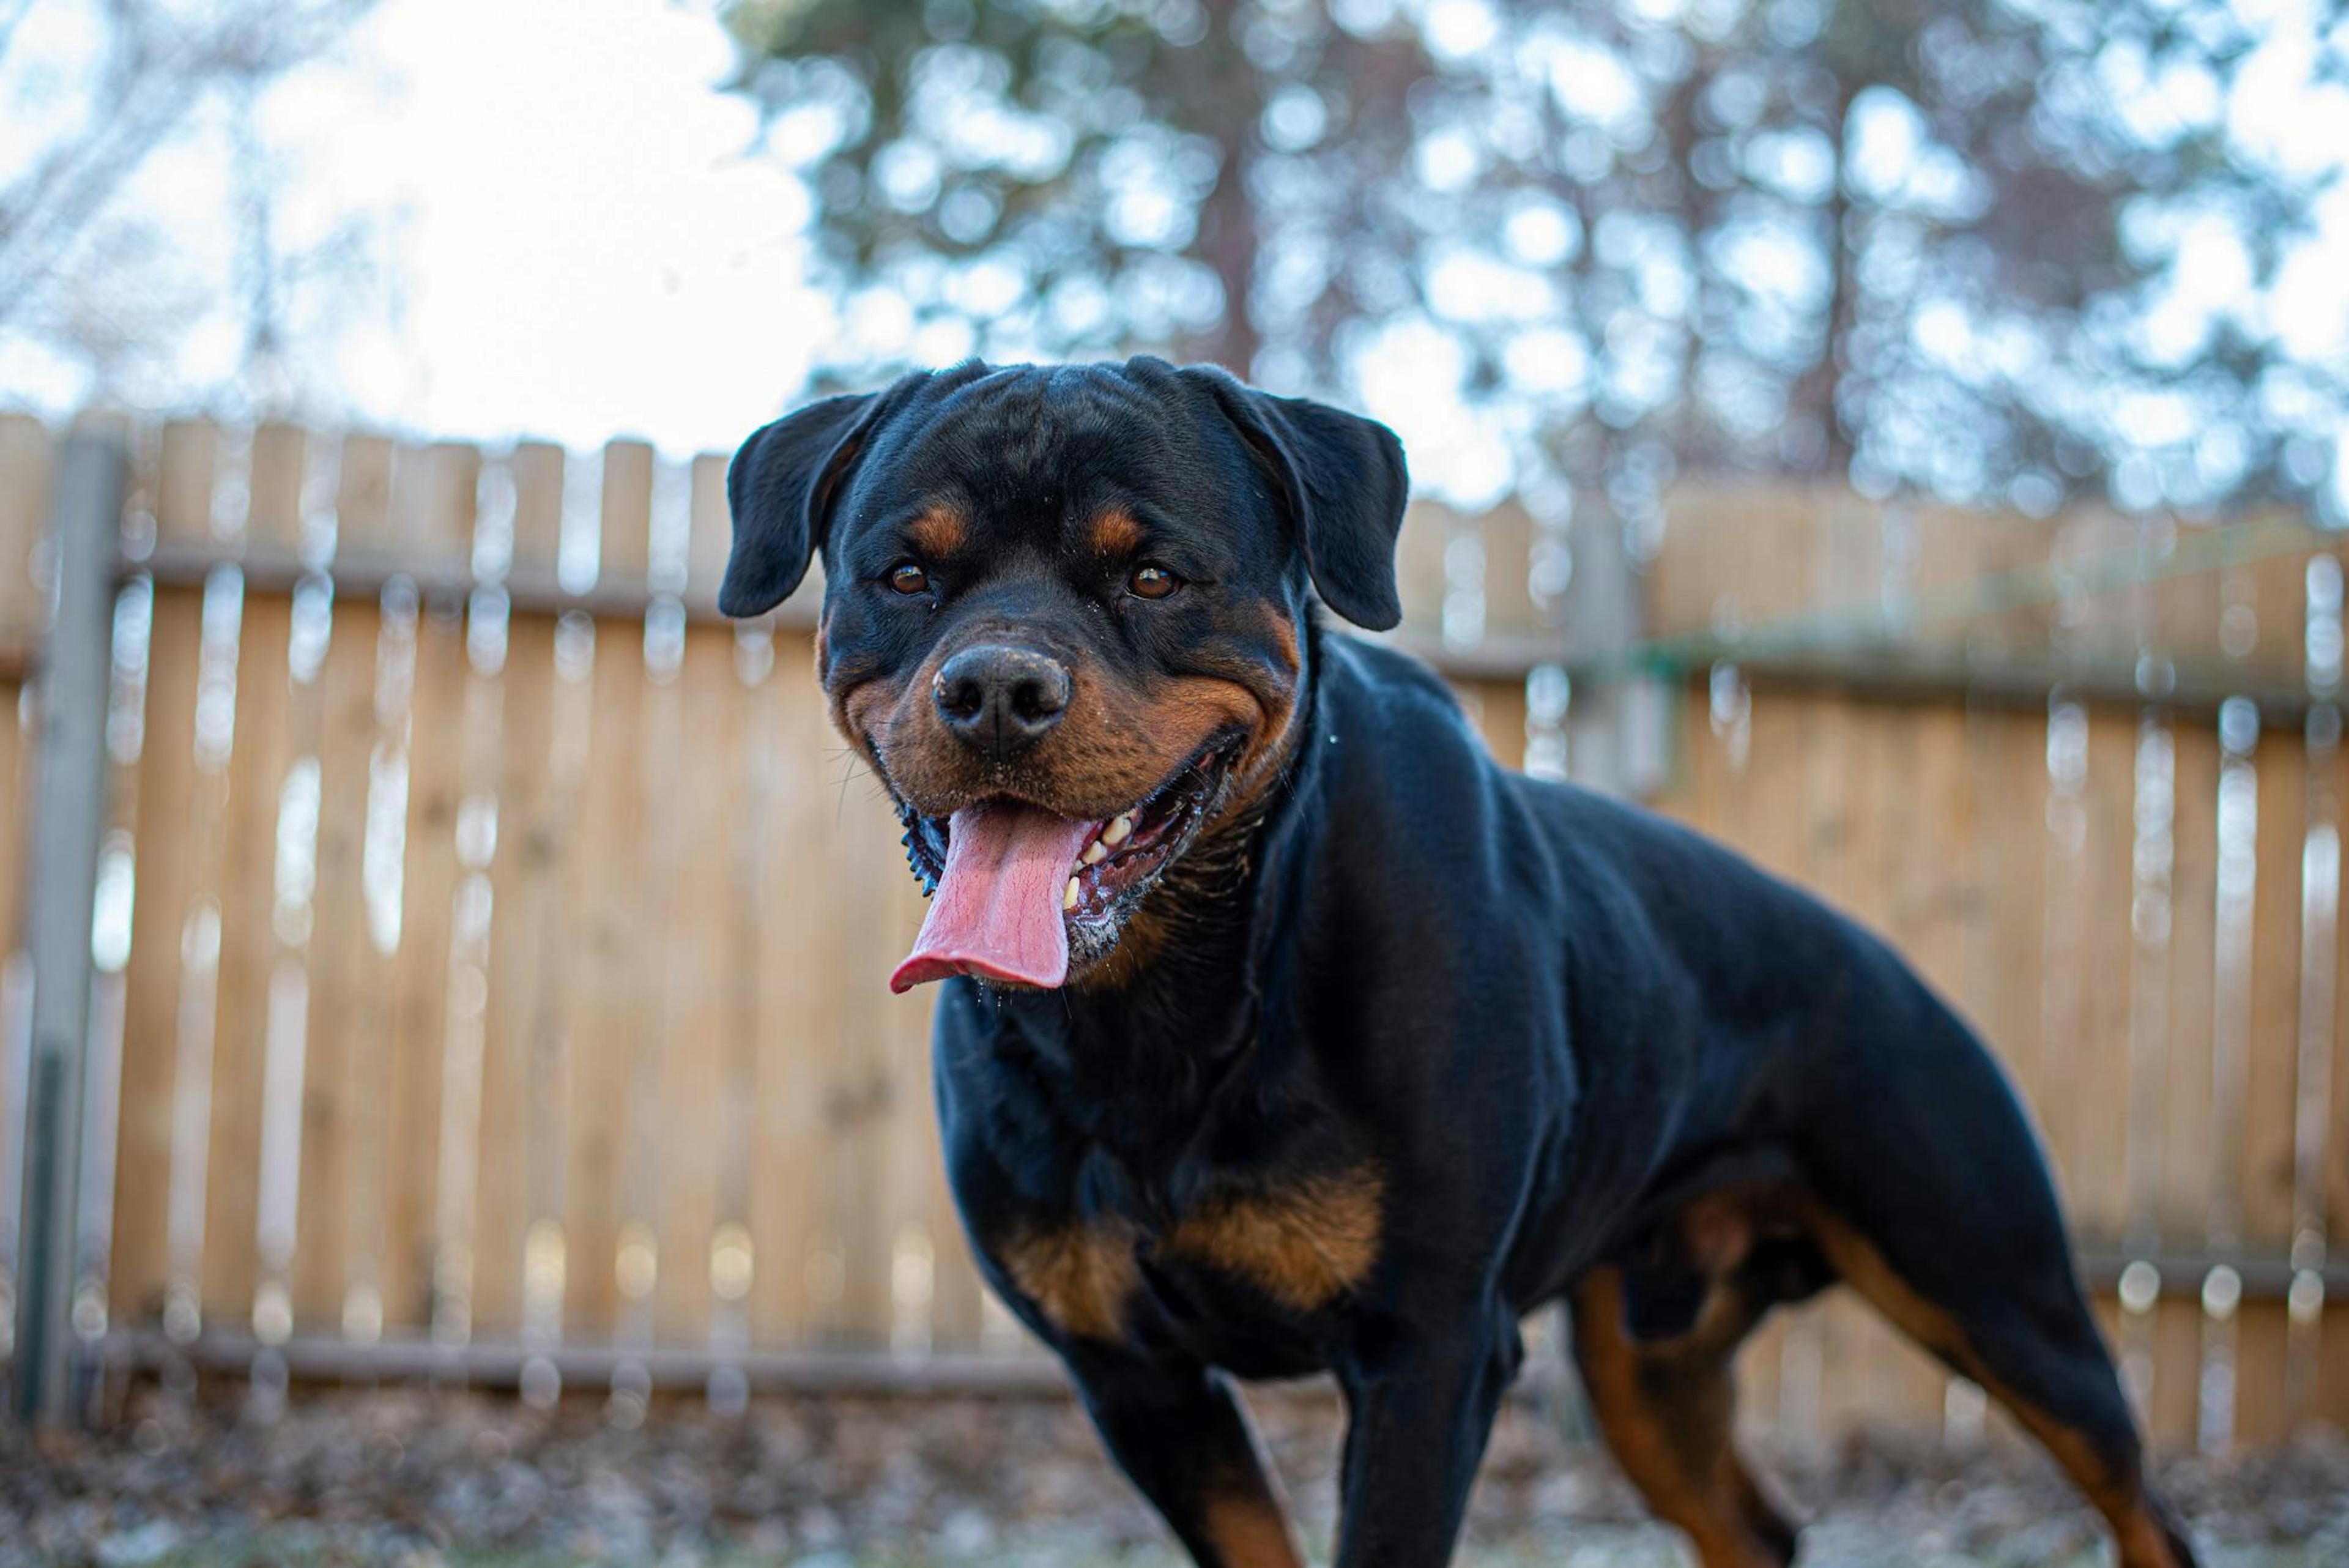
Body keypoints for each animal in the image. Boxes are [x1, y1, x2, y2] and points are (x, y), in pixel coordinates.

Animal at [719, 359, 2199, 1568]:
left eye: (1152, 576)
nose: (995, 690)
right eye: (908, 575)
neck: (1171, 1005)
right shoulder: (1129, 1372)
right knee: (1754, 1525)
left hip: (2001, 1291)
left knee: (2138, 1500)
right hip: (1650, 1359)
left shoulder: (1428, 1349)